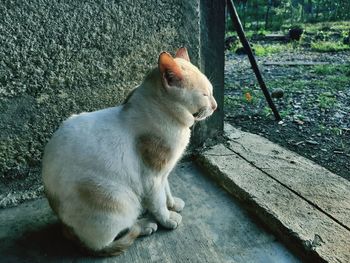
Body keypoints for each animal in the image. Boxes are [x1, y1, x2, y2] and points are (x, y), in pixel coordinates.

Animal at [42, 46, 217, 256]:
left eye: (212, 91)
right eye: (205, 95)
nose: (215, 106)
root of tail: (66, 229)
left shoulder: (163, 174)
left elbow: (166, 191)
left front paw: (172, 204)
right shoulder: (152, 178)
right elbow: (158, 203)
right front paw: (167, 218)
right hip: (118, 199)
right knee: (110, 240)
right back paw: (145, 225)